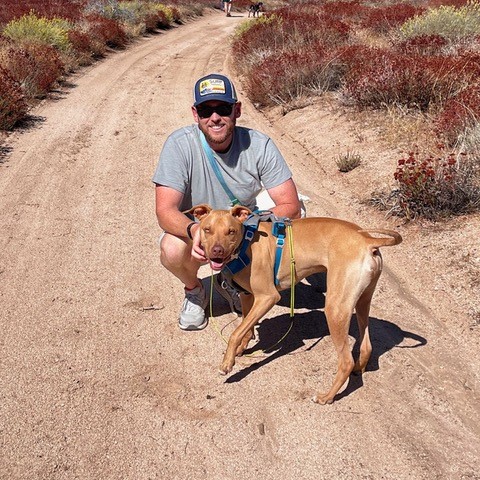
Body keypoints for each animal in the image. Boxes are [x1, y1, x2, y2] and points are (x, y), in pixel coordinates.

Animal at [188, 204, 402, 404]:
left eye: (230, 231)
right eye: (207, 230)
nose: (217, 250)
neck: (245, 245)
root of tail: (368, 241)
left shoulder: (268, 297)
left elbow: (235, 333)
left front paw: (227, 363)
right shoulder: (247, 296)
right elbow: (245, 329)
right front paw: (239, 350)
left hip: (335, 310)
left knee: (346, 362)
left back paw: (327, 397)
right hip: (362, 302)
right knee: (366, 346)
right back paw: (358, 369)